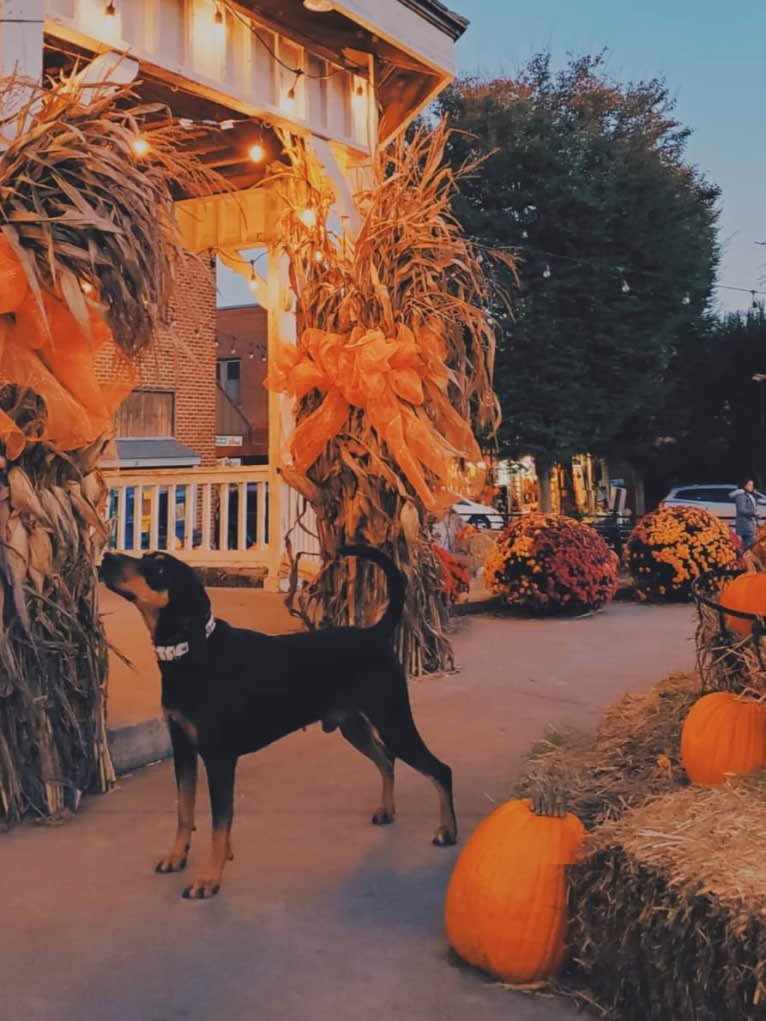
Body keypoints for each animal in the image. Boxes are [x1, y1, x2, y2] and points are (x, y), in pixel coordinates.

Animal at [102, 547, 461, 898]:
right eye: (146, 557)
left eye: (159, 567)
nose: (107, 557)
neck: (191, 652)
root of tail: (374, 634)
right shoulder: (183, 749)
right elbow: (184, 810)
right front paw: (177, 856)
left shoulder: (219, 758)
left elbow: (220, 823)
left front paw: (208, 878)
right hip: (353, 726)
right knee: (386, 759)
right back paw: (387, 811)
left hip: (392, 719)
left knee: (440, 769)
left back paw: (447, 831)